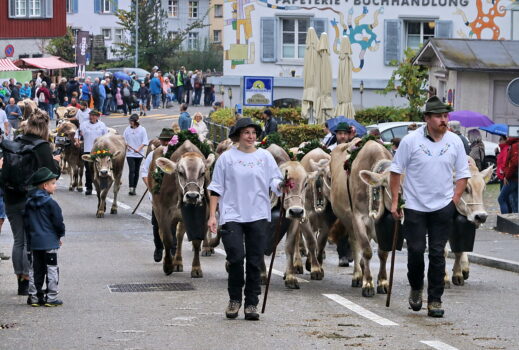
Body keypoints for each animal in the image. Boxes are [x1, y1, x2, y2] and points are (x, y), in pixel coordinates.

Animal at [149, 139, 216, 276]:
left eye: (202, 173)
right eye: (180, 173)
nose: (192, 196)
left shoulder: (202, 215)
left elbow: (196, 241)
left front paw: (196, 268)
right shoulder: (164, 213)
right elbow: (168, 239)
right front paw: (167, 265)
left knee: (179, 236)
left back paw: (178, 262)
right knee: (166, 234)